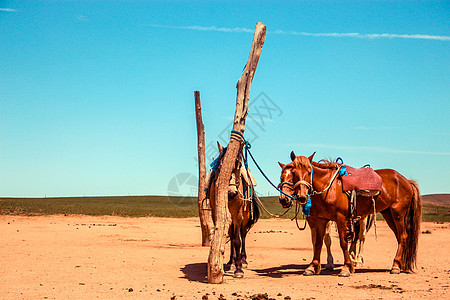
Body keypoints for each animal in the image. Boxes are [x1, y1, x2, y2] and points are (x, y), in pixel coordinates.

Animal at [205, 143, 260, 278]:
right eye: (220, 165)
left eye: (239, 165)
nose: (231, 193)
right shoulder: (217, 214)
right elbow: (229, 237)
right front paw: (232, 263)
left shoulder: (238, 216)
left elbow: (237, 240)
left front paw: (239, 269)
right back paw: (232, 261)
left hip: (245, 218)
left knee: (243, 235)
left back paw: (243, 260)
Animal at [280, 151, 420, 278]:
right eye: (293, 173)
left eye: (309, 172)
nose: (301, 197)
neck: (328, 187)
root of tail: (406, 181)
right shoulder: (321, 219)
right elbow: (318, 242)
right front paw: (312, 267)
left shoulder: (340, 218)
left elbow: (343, 243)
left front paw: (346, 268)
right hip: (388, 214)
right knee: (399, 237)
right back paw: (400, 264)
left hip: (397, 214)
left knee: (402, 236)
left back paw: (395, 266)